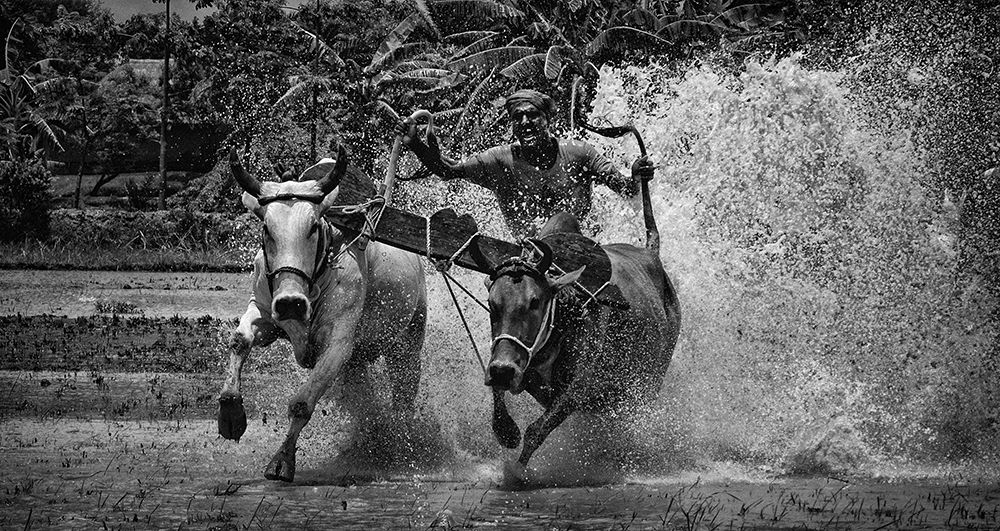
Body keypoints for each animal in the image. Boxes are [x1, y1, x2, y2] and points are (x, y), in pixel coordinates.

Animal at [216, 146, 427, 483]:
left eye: (314, 226)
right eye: (266, 228)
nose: (291, 302)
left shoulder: (339, 344)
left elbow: (302, 403)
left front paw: (282, 460)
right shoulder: (263, 311)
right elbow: (239, 341)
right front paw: (231, 414)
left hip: (408, 340)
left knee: (404, 390)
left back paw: (396, 441)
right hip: (358, 362)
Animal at [473, 207, 681, 485]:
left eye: (535, 301)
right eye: (492, 303)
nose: (503, 370)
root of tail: (652, 254)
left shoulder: (576, 389)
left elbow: (536, 430)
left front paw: (516, 472)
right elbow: (499, 398)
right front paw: (506, 431)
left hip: (648, 385)